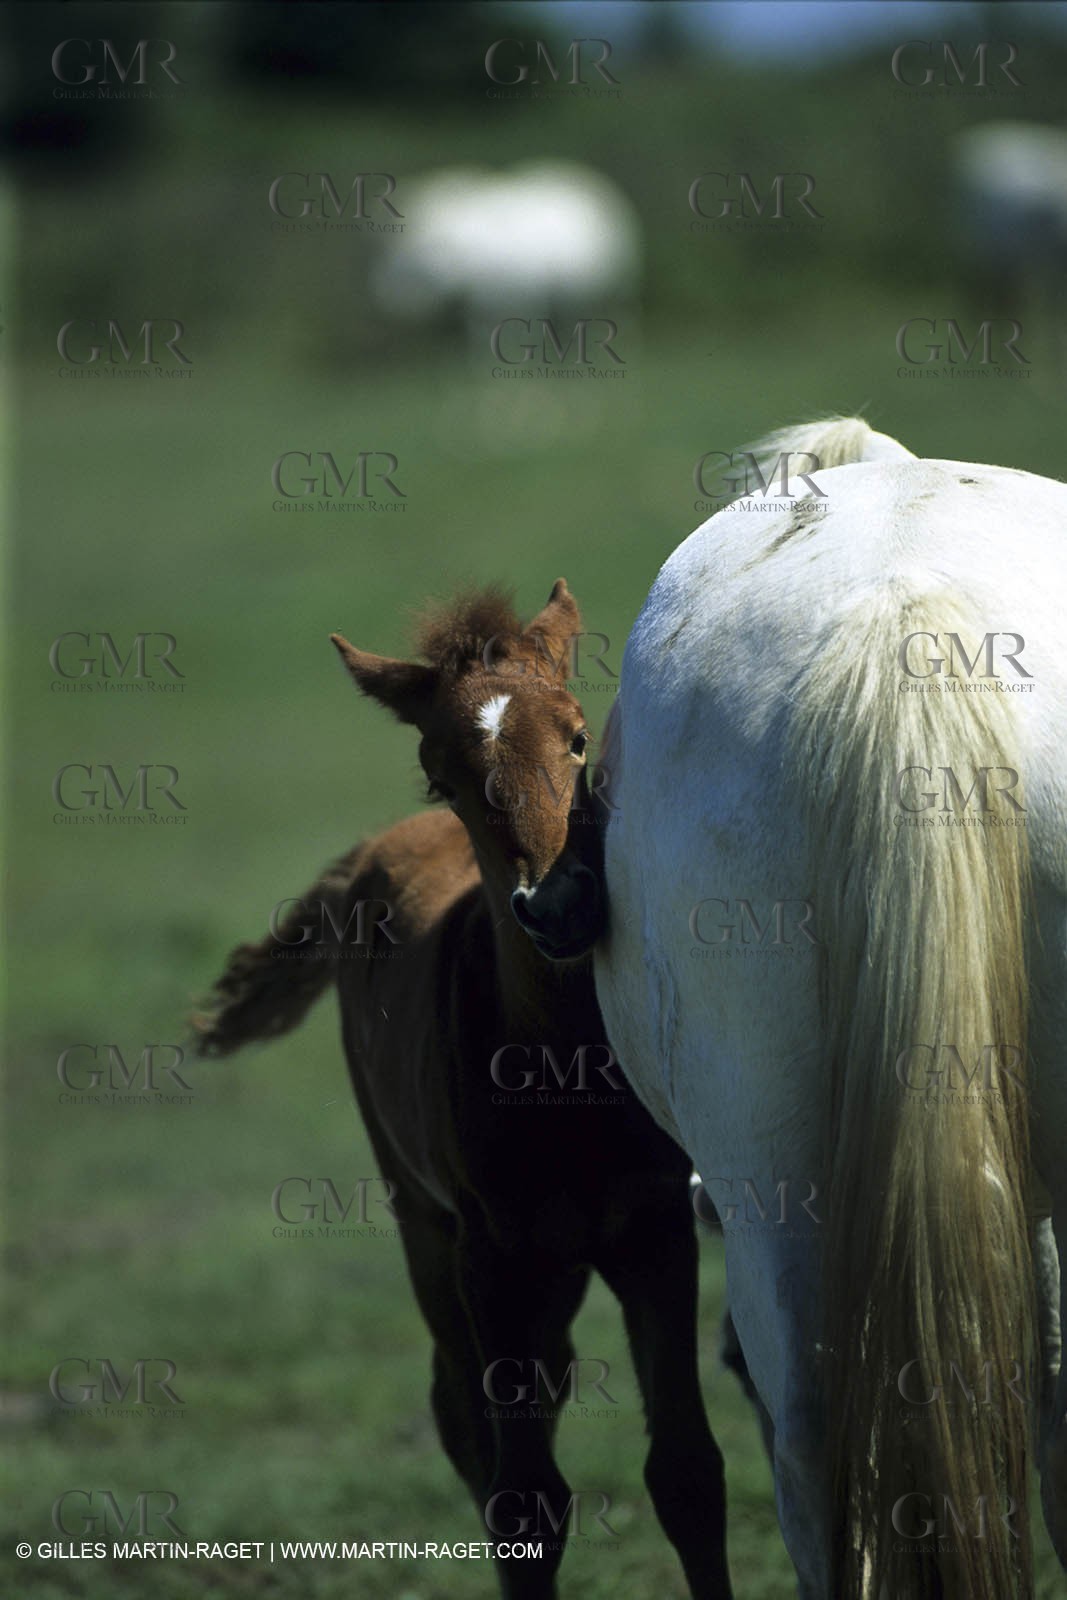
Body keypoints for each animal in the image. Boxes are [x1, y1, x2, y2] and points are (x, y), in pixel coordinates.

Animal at [194, 581, 732, 1599]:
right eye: (442, 774)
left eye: (576, 737)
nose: (556, 905)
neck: (565, 1075)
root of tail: (369, 850)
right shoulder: (490, 1252)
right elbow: (522, 1499)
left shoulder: (654, 1233)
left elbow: (686, 1468)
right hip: (427, 1224)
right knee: (462, 1411)